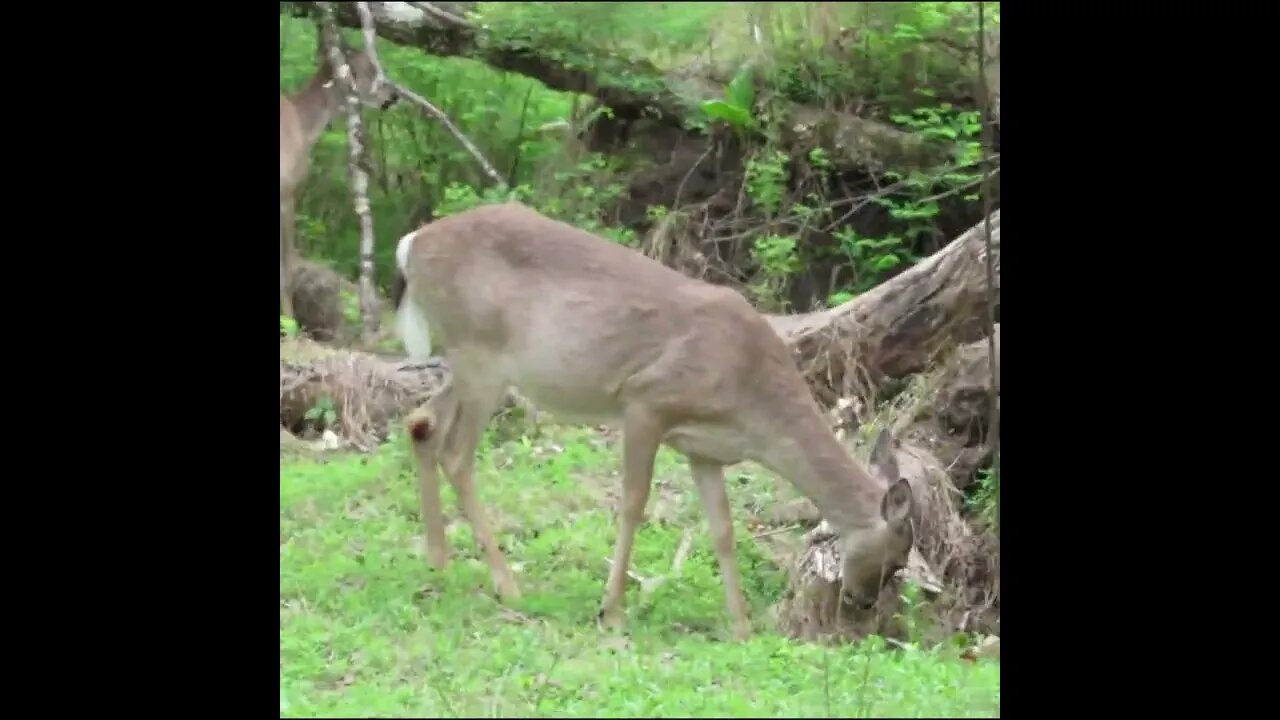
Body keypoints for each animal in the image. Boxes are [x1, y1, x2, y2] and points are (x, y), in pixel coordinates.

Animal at [277, 41, 396, 316]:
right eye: (370, 69)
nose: (393, 94)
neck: (303, 126)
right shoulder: (287, 191)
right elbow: (286, 269)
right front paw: (290, 321)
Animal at [389, 199, 911, 632]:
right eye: (896, 559)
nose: (863, 601)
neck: (754, 406)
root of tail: (410, 245)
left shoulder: (705, 450)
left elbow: (723, 529)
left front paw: (741, 625)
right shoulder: (646, 400)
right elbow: (633, 503)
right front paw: (612, 610)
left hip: (467, 364)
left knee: (422, 423)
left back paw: (438, 560)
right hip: (481, 356)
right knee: (457, 454)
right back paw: (507, 584)